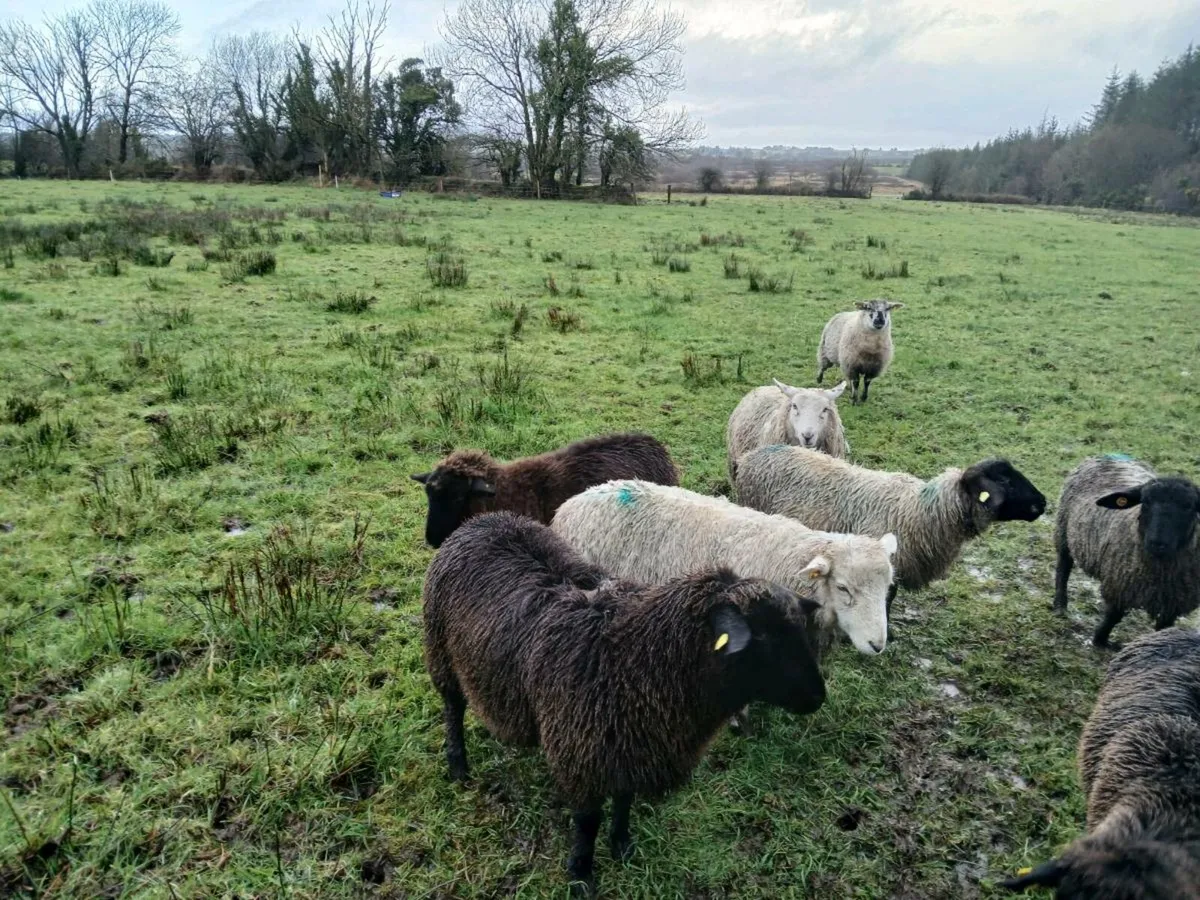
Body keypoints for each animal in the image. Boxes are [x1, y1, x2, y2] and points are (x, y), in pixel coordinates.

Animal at [423, 512, 826, 896]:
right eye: (763, 636)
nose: (818, 697)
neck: (633, 658)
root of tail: (482, 520)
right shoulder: (582, 754)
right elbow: (588, 822)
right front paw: (581, 875)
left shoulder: (630, 744)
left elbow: (624, 801)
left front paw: (622, 846)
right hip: (440, 651)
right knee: (453, 707)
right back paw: (458, 764)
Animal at [1053, 454, 1200, 648]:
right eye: (1146, 502)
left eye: (1188, 507)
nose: (1157, 543)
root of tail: (1109, 454)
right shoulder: (1118, 586)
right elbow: (1114, 617)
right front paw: (1100, 640)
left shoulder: (1174, 603)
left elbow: (1165, 627)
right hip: (1063, 529)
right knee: (1064, 567)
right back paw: (1060, 605)